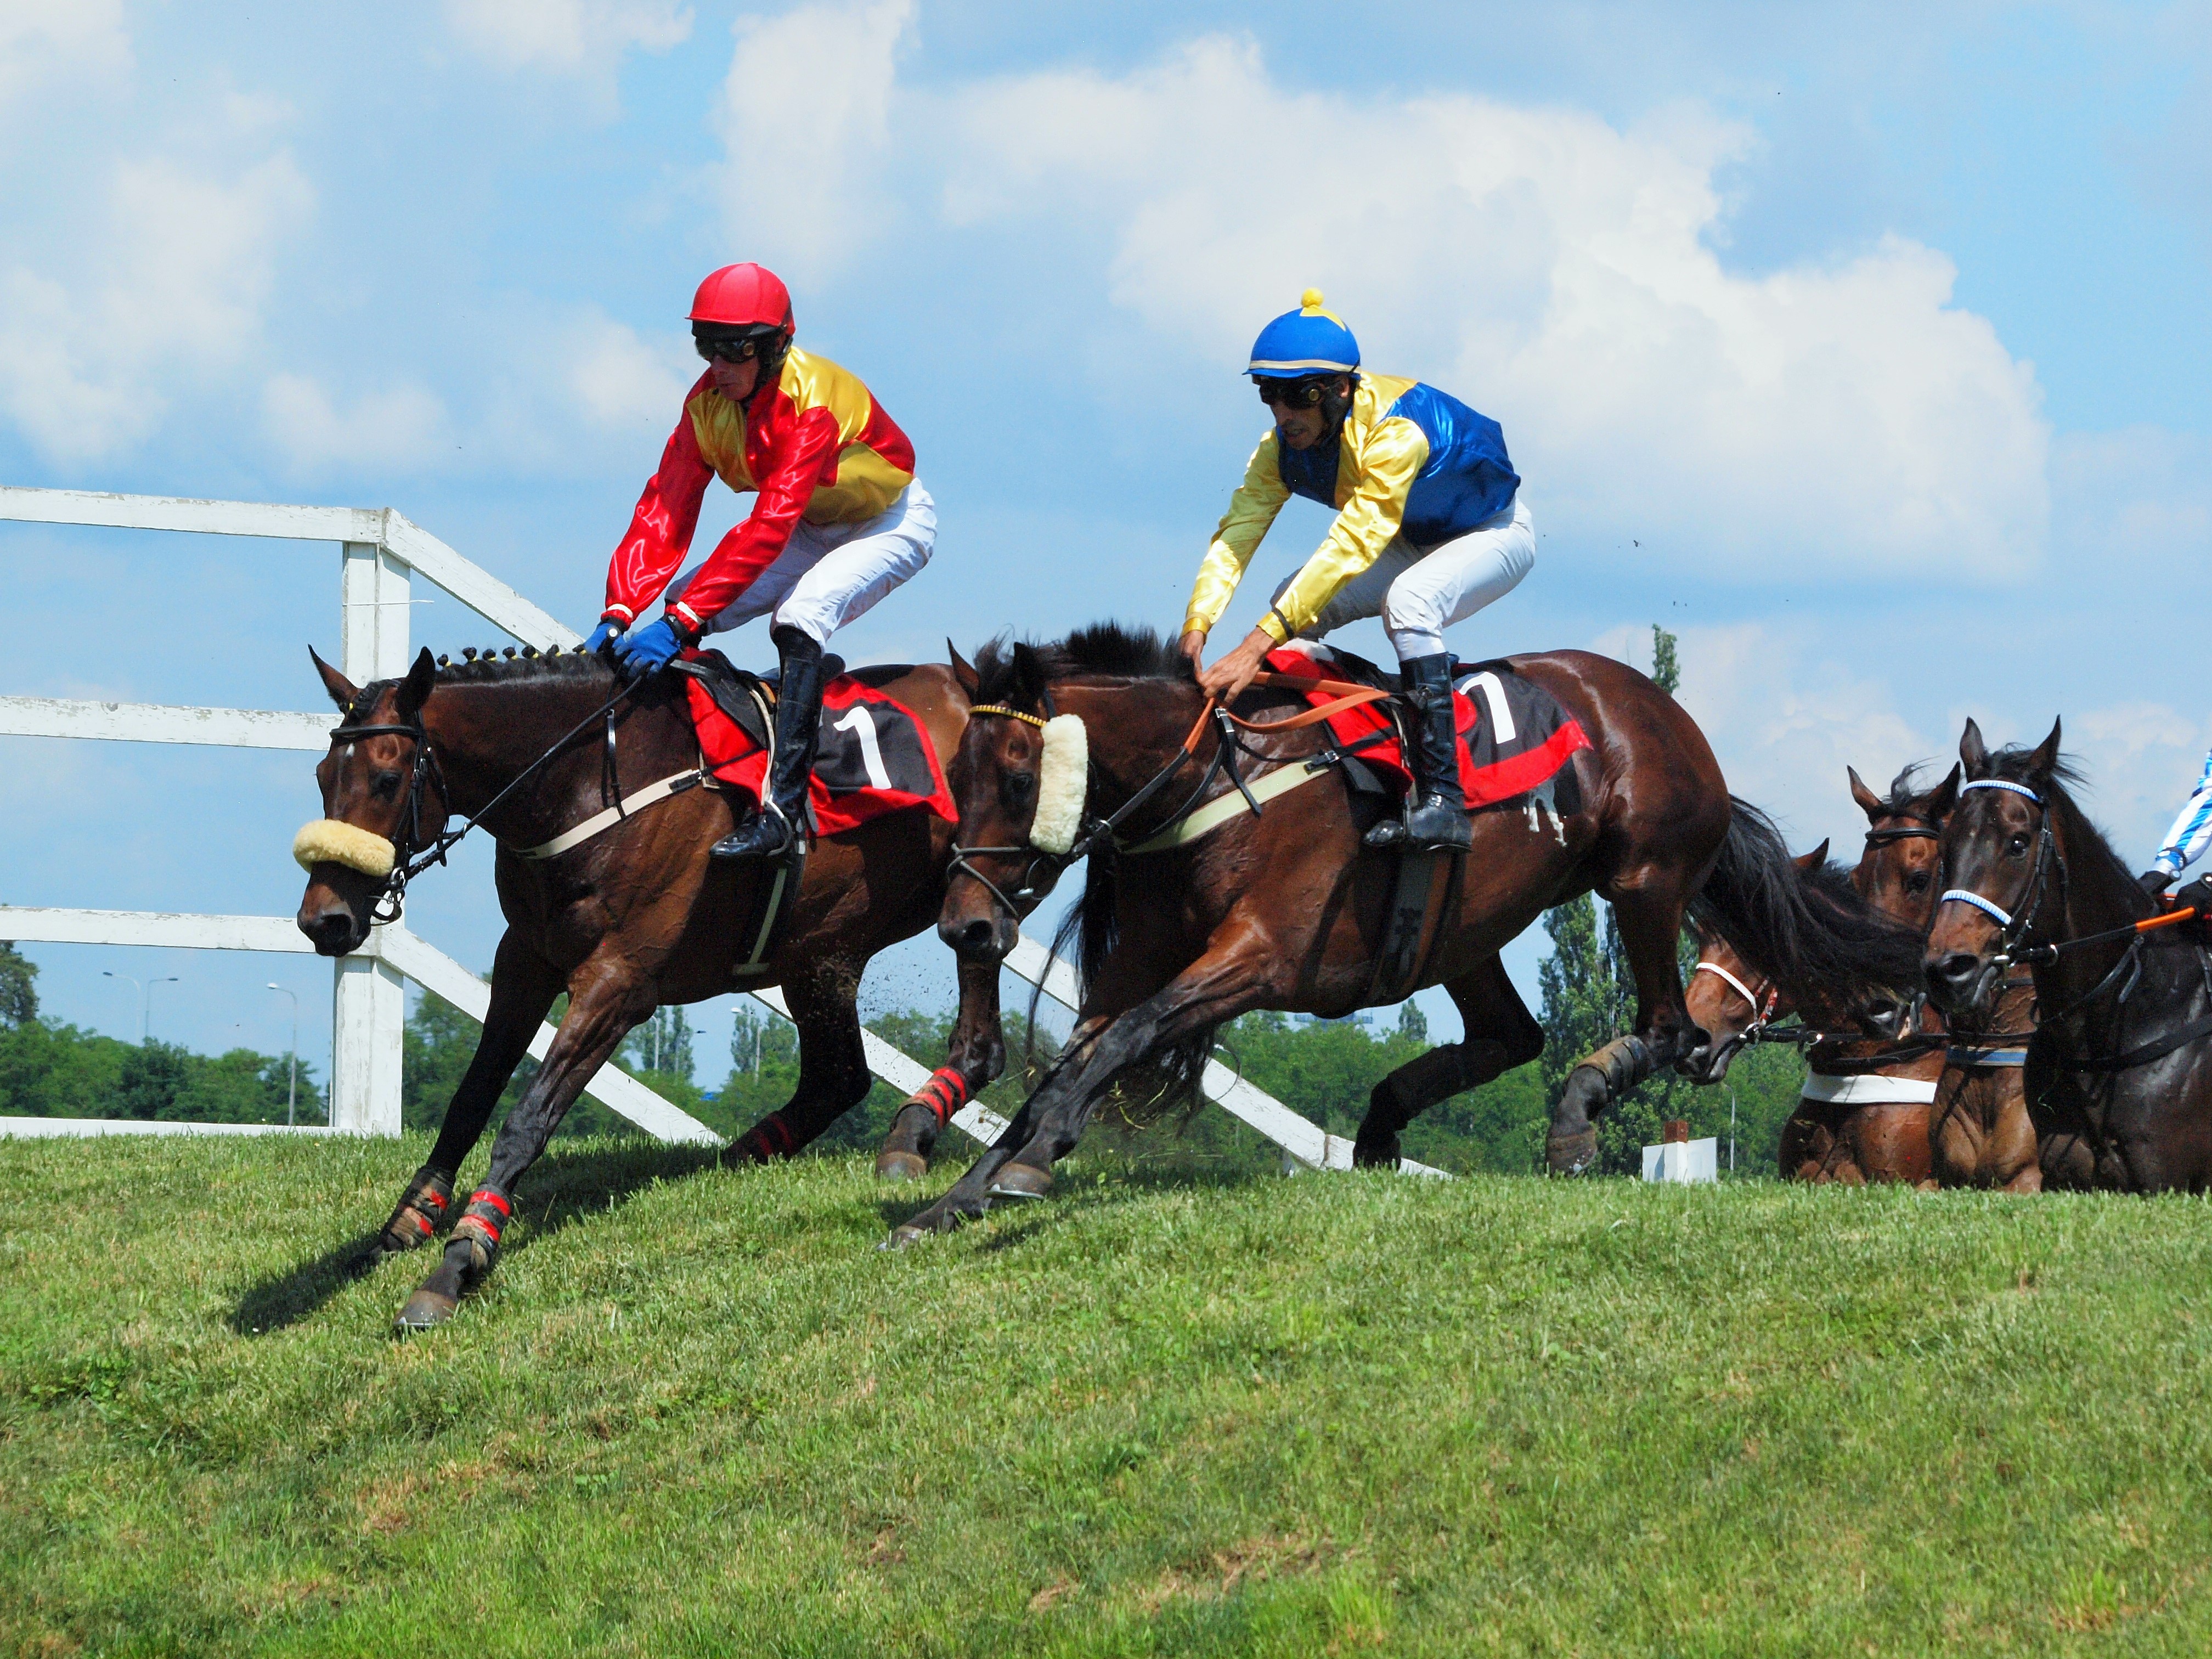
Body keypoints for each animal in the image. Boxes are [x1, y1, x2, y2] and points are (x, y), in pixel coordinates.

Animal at [295, 644, 1015, 1327]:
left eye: (387, 779)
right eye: (323, 777)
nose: (323, 919)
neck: (583, 786)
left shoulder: (618, 983)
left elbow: (526, 1121)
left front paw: (460, 1261)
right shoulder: (525, 959)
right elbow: (469, 1100)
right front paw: (406, 1223)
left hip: (973, 890)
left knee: (978, 1039)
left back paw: (913, 1130)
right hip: (821, 950)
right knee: (839, 1079)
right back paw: (741, 1155)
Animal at [897, 624, 1916, 1241]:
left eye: (1019, 776)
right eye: (955, 773)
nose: (967, 924)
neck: (1208, 782)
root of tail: (1669, 713)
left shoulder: (1265, 955)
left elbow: (1128, 1040)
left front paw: (1033, 1162)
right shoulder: (1136, 964)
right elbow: (1070, 1064)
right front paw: (959, 1192)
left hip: (1644, 878)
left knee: (1667, 1027)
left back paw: (1574, 1117)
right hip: (1463, 927)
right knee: (1513, 1034)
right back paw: (1386, 1127)